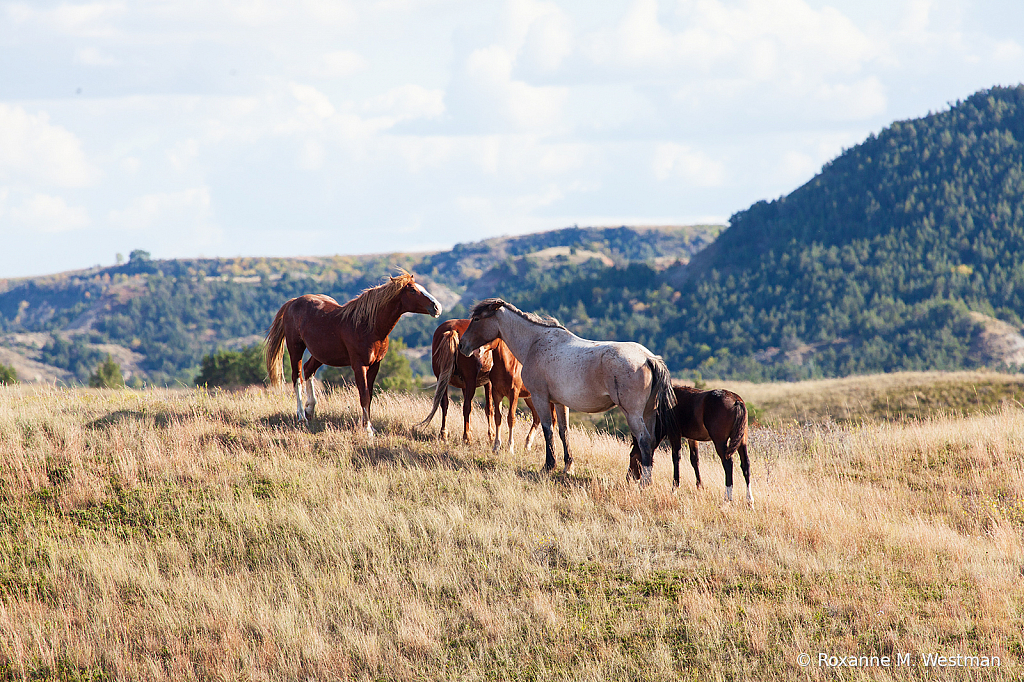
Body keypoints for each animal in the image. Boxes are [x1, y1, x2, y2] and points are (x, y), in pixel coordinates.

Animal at [264, 270, 440, 432]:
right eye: (412, 290)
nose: (437, 307)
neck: (369, 326)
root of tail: (293, 302)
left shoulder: (375, 365)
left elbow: (369, 395)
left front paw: (368, 426)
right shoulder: (359, 365)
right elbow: (364, 395)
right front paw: (367, 429)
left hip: (320, 354)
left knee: (308, 370)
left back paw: (310, 409)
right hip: (296, 348)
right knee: (297, 377)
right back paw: (302, 416)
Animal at [417, 319, 544, 450]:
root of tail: (452, 329)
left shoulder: (469, 385)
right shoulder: (487, 384)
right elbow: (489, 409)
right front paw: (491, 436)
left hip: (443, 379)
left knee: (445, 404)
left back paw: (444, 435)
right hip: (469, 381)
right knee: (465, 407)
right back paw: (466, 438)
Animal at [460, 296, 675, 483]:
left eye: (477, 319)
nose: (462, 345)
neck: (534, 342)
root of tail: (649, 358)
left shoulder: (540, 398)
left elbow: (548, 429)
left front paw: (549, 465)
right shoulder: (559, 402)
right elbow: (564, 432)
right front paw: (568, 466)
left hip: (633, 414)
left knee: (644, 441)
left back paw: (644, 482)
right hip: (648, 413)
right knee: (651, 441)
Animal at [622, 382, 753, 503]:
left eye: (632, 456)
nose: (628, 478)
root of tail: (736, 401)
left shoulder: (675, 434)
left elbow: (676, 458)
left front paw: (675, 488)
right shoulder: (692, 438)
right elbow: (695, 460)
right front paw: (700, 486)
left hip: (720, 442)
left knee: (728, 464)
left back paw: (727, 498)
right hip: (742, 441)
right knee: (745, 465)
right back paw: (749, 500)